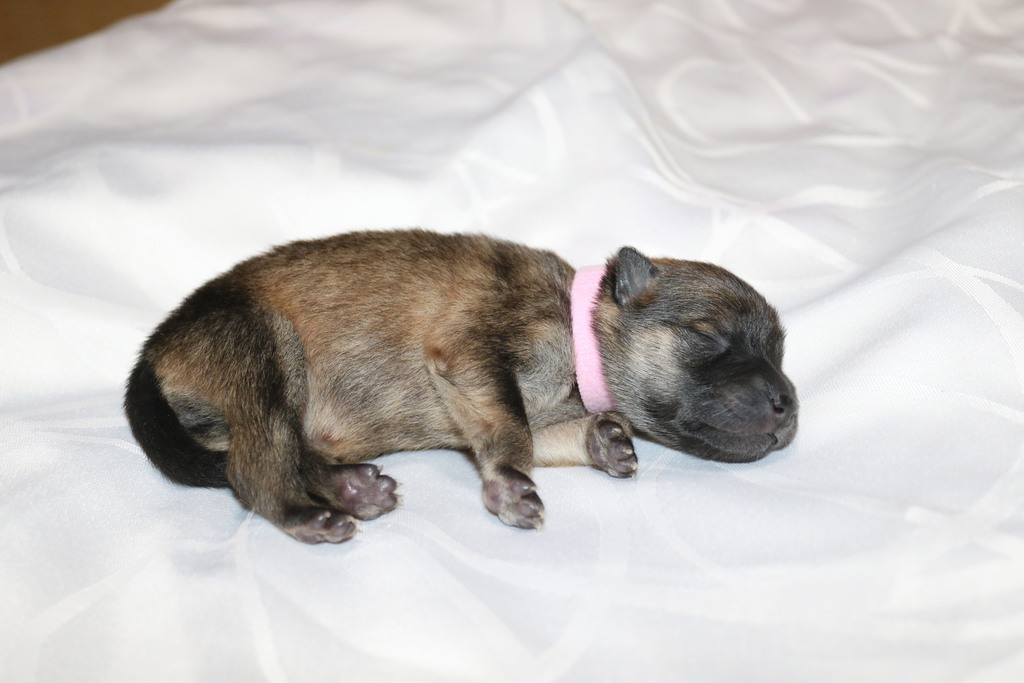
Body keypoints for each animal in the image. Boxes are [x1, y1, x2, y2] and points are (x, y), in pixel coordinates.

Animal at [125, 229, 797, 543]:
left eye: (780, 351)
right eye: (708, 335)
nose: (787, 404)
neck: (576, 320)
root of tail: (153, 350)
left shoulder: (505, 406)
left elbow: (528, 432)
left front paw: (604, 440)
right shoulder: (474, 355)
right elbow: (510, 430)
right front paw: (511, 488)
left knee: (289, 451)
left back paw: (352, 488)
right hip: (266, 351)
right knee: (254, 466)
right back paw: (307, 515)